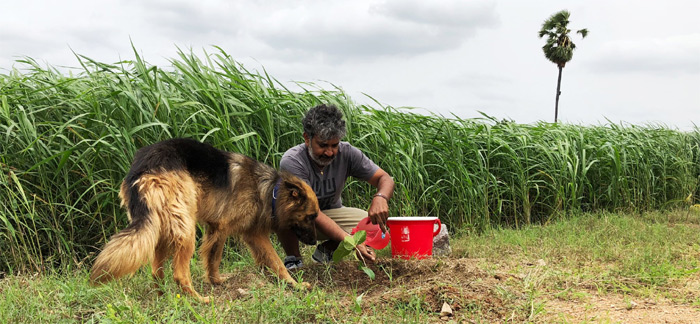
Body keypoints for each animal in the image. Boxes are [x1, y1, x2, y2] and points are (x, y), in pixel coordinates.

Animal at [89, 138, 318, 302]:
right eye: (311, 216)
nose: (315, 242)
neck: (271, 190)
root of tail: (142, 167)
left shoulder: (221, 229)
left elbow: (214, 258)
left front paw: (216, 280)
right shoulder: (245, 232)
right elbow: (276, 261)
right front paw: (295, 284)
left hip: (162, 229)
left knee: (156, 271)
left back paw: (164, 297)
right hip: (185, 230)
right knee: (179, 274)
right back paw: (198, 299)